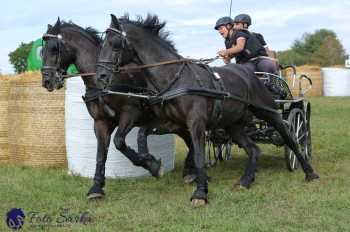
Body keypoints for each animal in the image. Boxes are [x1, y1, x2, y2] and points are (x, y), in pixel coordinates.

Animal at [40, 18, 197, 199]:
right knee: (189, 138)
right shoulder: (100, 122)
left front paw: (152, 165)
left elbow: (119, 142)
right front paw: (96, 187)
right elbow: (101, 153)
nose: (47, 81)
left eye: (54, 48)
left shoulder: (131, 114)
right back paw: (190, 170)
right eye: (42, 51)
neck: (103, 84)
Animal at [95, 14, 320, 207]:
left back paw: (310, 173)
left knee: (291, 138)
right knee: (253, 149)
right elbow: (135, 136)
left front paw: (200, 193)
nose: (100, 77)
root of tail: (252, 74)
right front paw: (151, 164)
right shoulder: (171, 123)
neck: (174, 77)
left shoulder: (196, 124)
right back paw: (245, 181)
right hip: (234, 125)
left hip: (269, 112)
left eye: (114, 44)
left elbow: (198, 155)